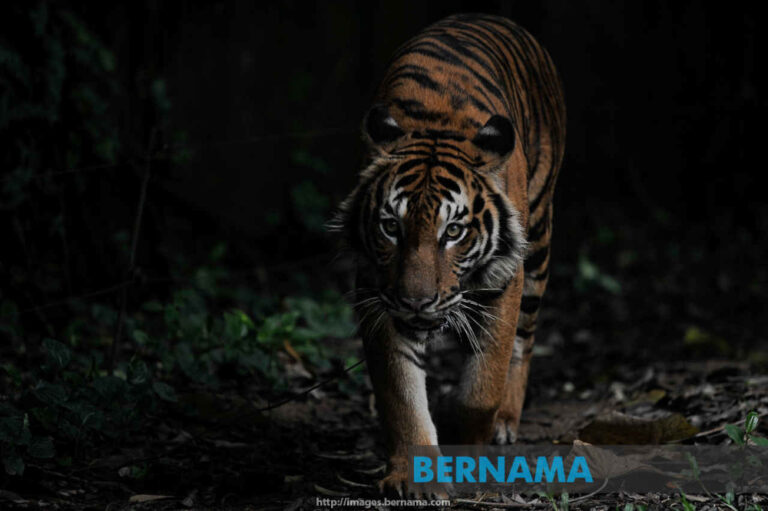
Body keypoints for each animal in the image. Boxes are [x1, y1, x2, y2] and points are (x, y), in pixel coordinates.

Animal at [330, 13, 565, 495]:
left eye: (453, 231)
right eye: (391, 227)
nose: (417, 302)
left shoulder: (505, 280)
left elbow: (483, 386)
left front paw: (467, 449)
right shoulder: (377, 294)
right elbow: (400, 395)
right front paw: (413, 478)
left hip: (538, 241)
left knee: (525, 342)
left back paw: (505, 423)